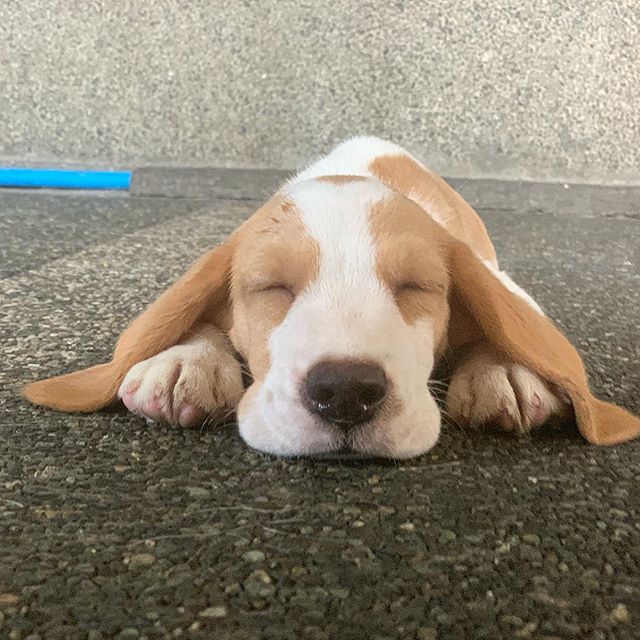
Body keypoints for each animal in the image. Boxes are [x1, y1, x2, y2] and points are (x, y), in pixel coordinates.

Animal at [22, 136, 636, 456]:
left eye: (416, 286)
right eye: (271, 286)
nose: (344, 391)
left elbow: (505, 325)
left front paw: (503, 368)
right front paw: (183, 359)